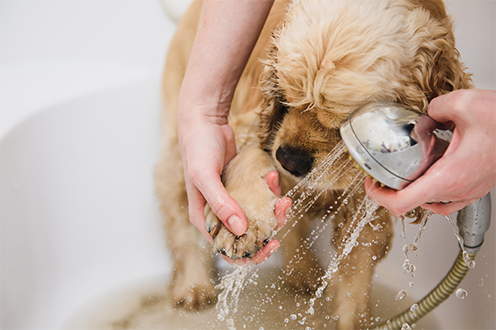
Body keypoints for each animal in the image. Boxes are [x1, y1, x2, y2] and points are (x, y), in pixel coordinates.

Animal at [156, 0, 472, 328]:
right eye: (285, 96)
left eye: (343, 123)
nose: (288, 160)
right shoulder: (251, 124)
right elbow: (250, 157)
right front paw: (241, 225)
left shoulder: (367, 206)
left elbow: (355, 279)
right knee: (182, 219)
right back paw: (194, 287)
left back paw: (303, 272)